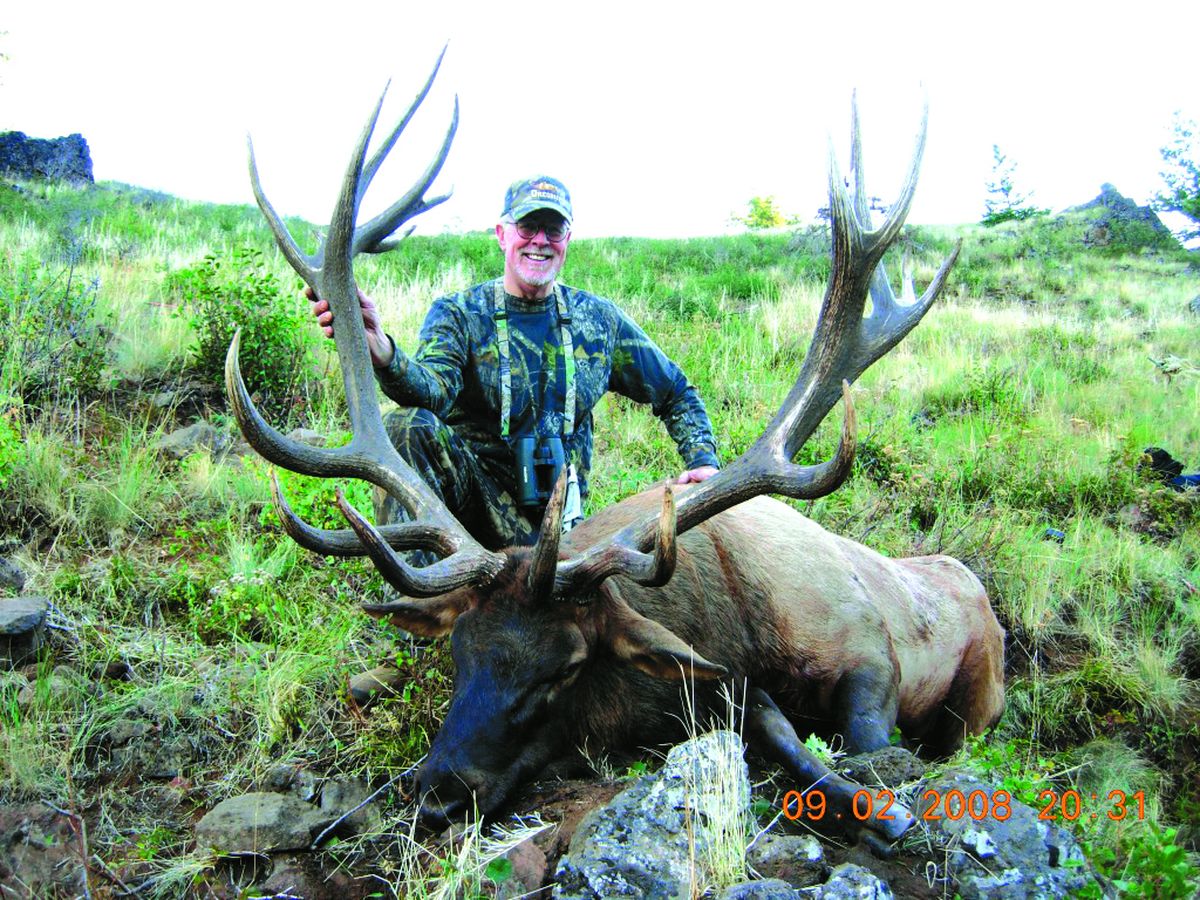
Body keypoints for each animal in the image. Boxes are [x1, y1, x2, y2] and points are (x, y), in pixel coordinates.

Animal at [225, 52, 1003, 849]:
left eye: (565, 669)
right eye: (458, 651)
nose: (437, 793)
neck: (732, 623)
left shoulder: (866, 652)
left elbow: (861, 745)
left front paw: (886, 809)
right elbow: (771, 724)